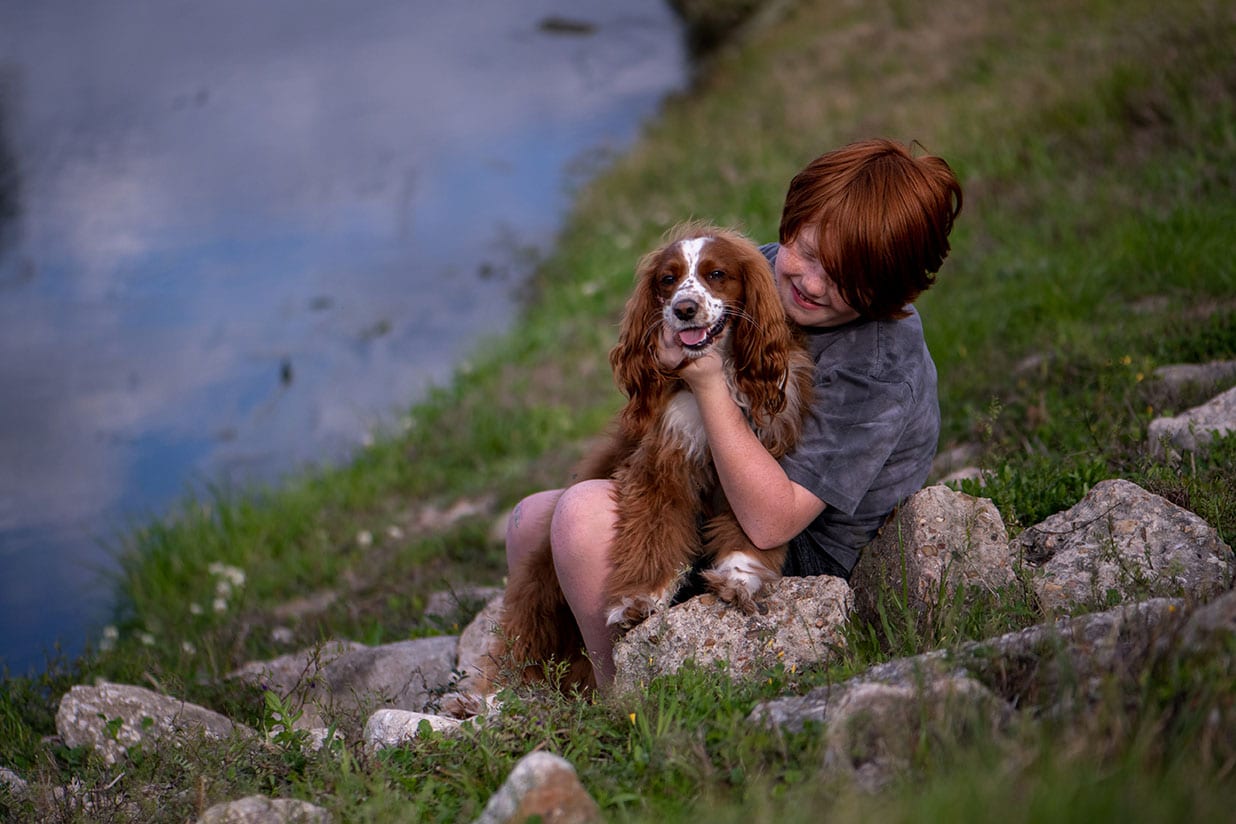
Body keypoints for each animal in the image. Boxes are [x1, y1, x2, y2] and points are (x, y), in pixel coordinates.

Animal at [449, 223, 815, 711]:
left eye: (716, 274)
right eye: (668, 279)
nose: (683, 309)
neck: (719, 381)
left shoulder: (758, 462)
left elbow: (751, 529)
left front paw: (739, 576)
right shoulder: (662, 465)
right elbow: (653, 533)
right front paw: (640, 599)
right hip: (540, 585)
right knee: (522, 639)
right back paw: (488, 700)